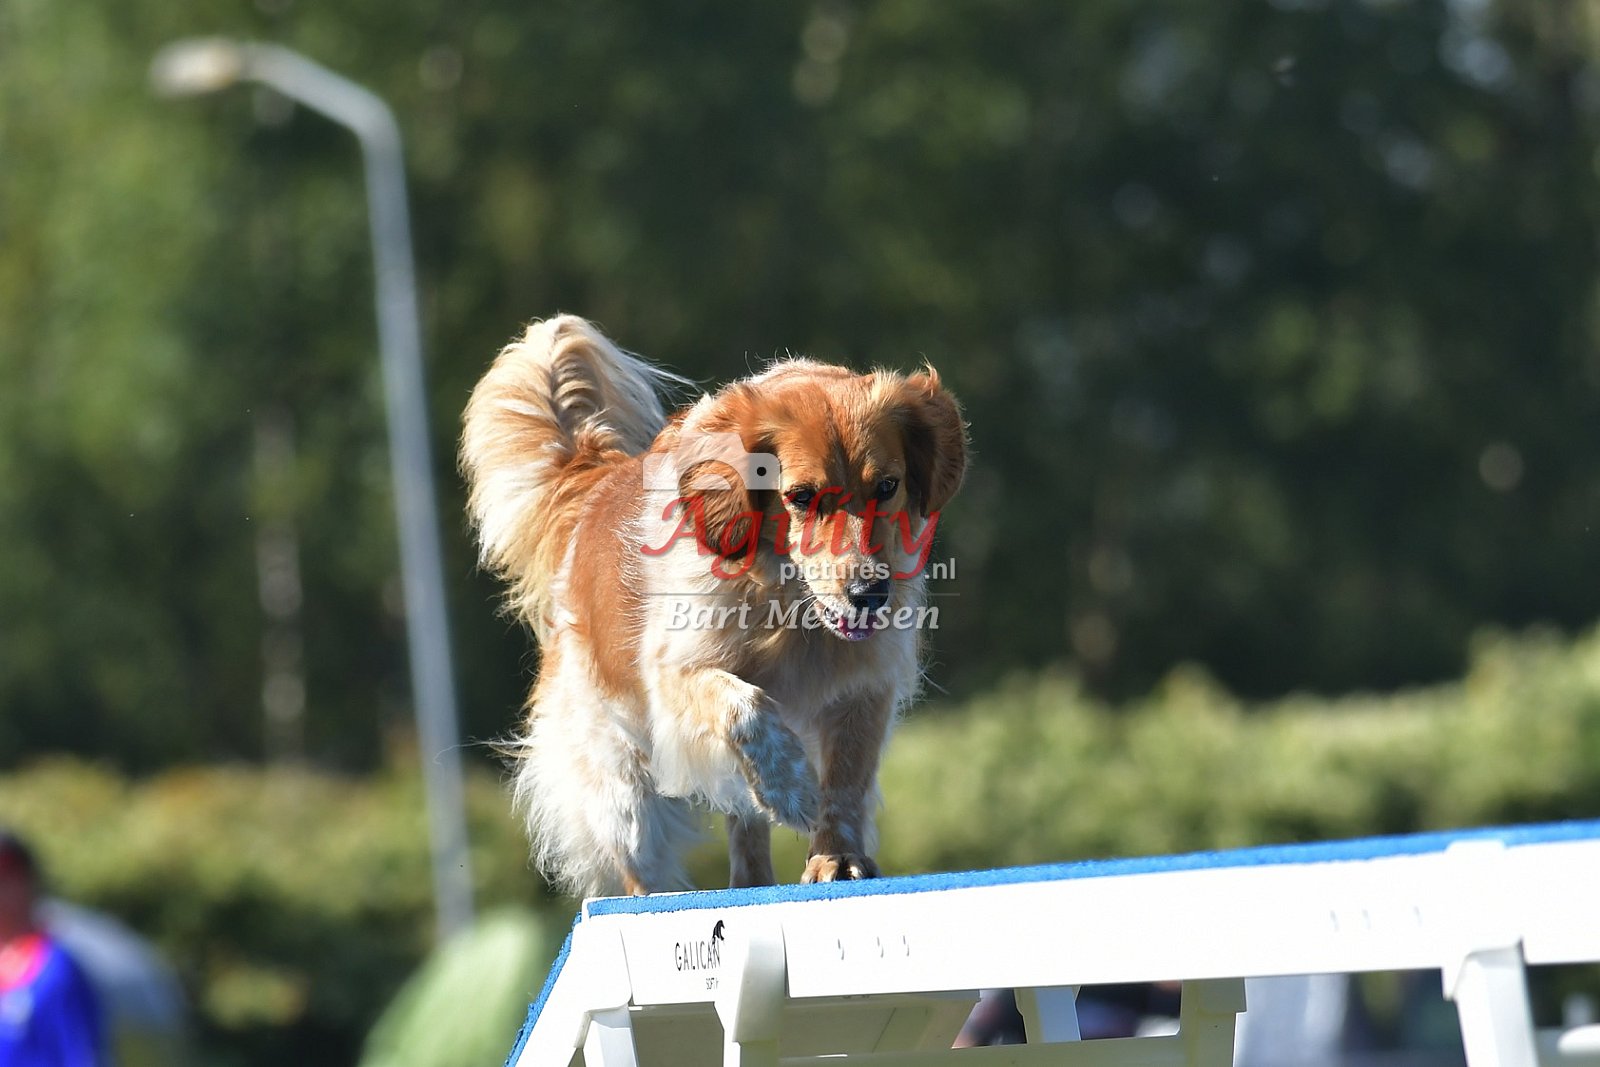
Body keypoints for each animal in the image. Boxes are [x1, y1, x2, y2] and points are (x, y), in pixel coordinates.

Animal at [460, 315, 965, 897]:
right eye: (800, 496)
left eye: (887, 486)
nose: (869, 597)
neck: (787, 605)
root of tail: (594, 485)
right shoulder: (677, 674)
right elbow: (745, 706)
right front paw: (794, 791)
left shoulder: (864, 686)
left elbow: (846, 781)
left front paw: (835, 856)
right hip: (622, 792)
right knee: (642, 870)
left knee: (745, 831)